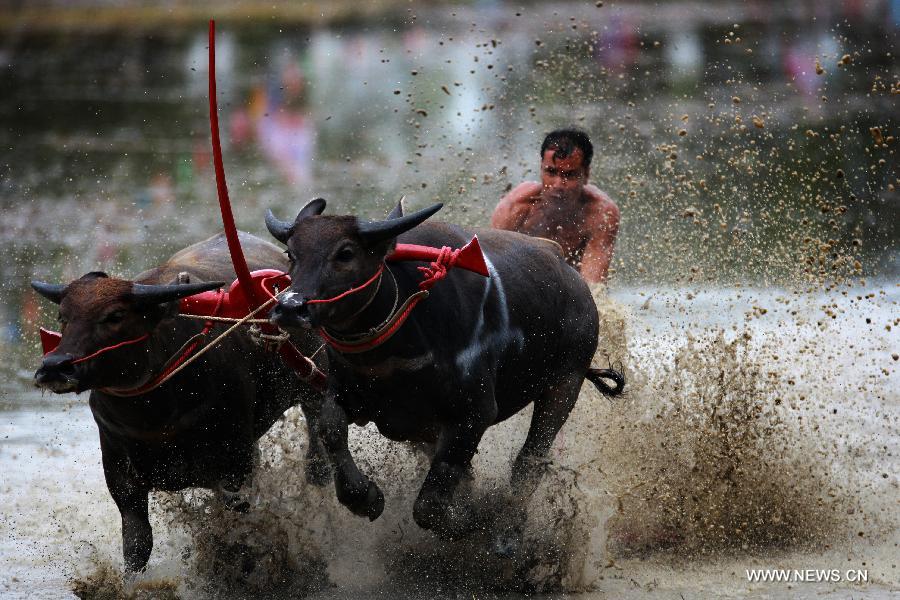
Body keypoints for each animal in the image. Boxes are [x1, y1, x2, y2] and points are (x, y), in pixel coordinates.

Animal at [31, 231, 326, 572]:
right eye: (63, 317)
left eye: (115, 315)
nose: (55, 366)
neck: (155, 415)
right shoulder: (121, 475)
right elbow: (137, 544)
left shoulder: (234, 465)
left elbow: (239, 527)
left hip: (313, 393)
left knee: (319, 454)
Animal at [264, 199, 624, 536]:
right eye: (291, 253)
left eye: (346, 253)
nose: (290, 308)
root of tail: (573, 279)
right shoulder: (347, 395)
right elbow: (331, 427)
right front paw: (365, 497)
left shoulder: (474, 414)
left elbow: (431, 504)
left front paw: (472, 520)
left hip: (566, 382)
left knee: (530, 460)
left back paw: (509, 530)